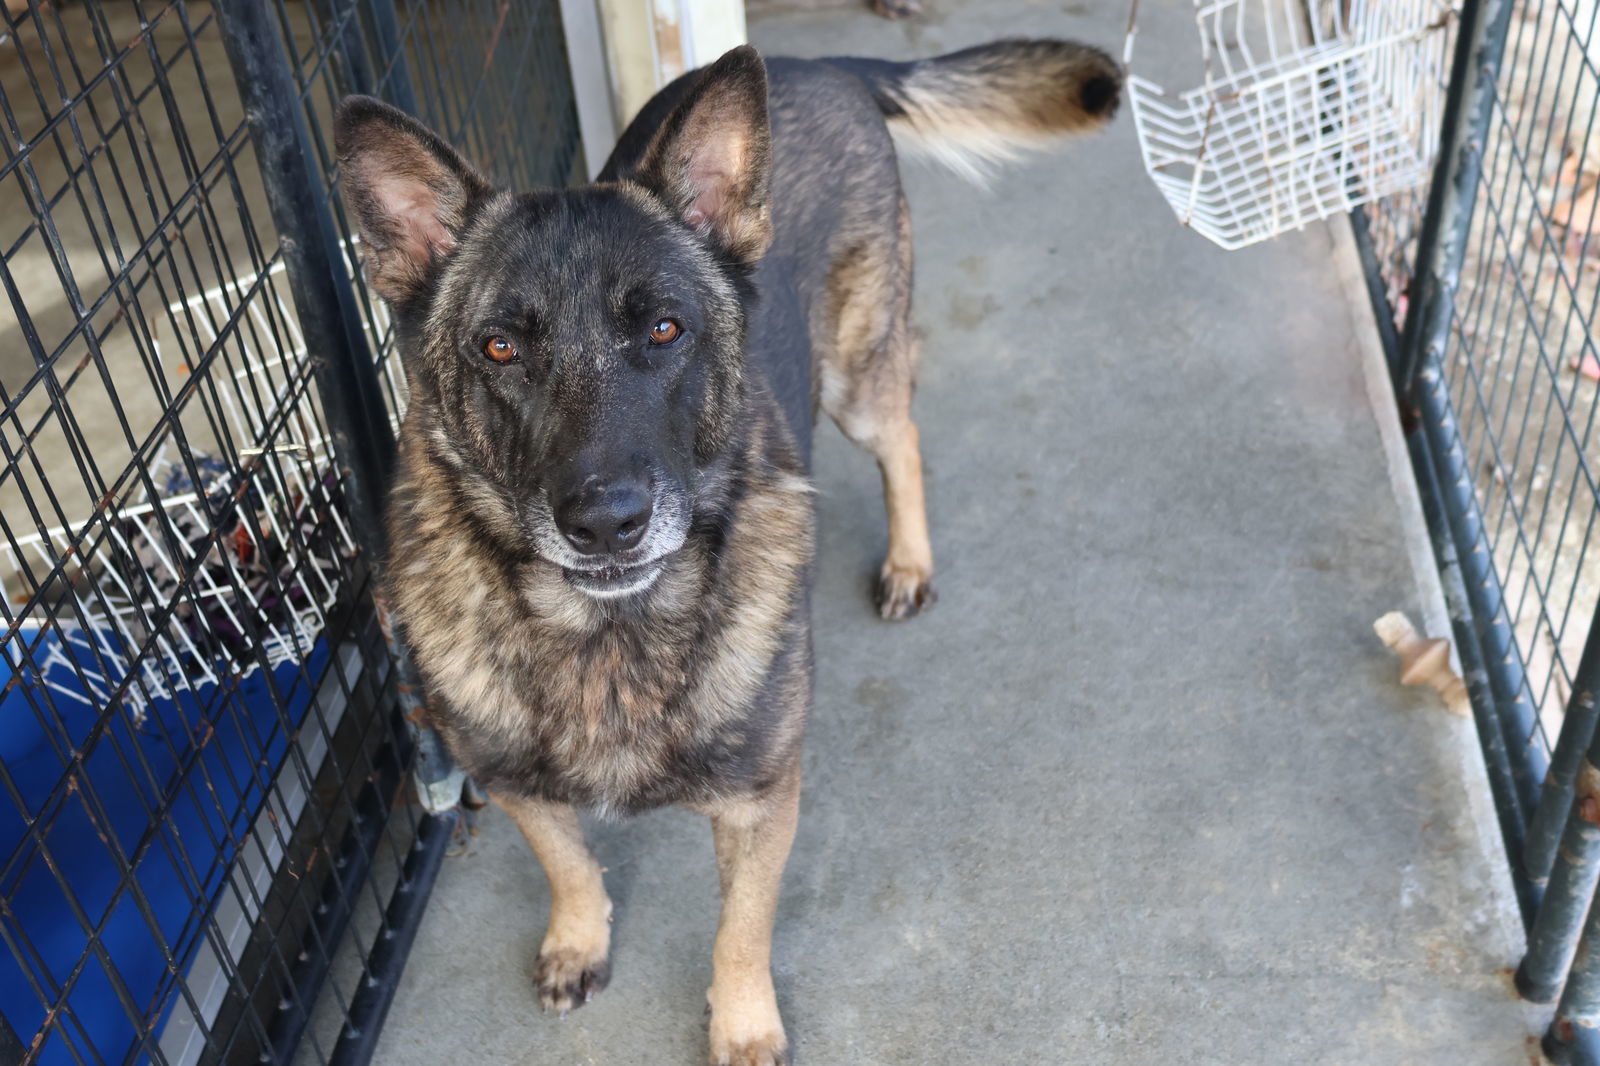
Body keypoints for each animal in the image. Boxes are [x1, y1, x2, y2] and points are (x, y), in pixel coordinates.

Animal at [332, 37, 1120, 1056]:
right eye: (500, 348)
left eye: (666, 329)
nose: (606, 521)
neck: (607, 635)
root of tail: (823, 62)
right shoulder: (513, 786)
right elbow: (568, 864)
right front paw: (579, 939)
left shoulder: (760, 805)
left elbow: (738, 931)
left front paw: (742, 1026)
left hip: (857, 379)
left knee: (902, 436)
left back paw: (909, 561)